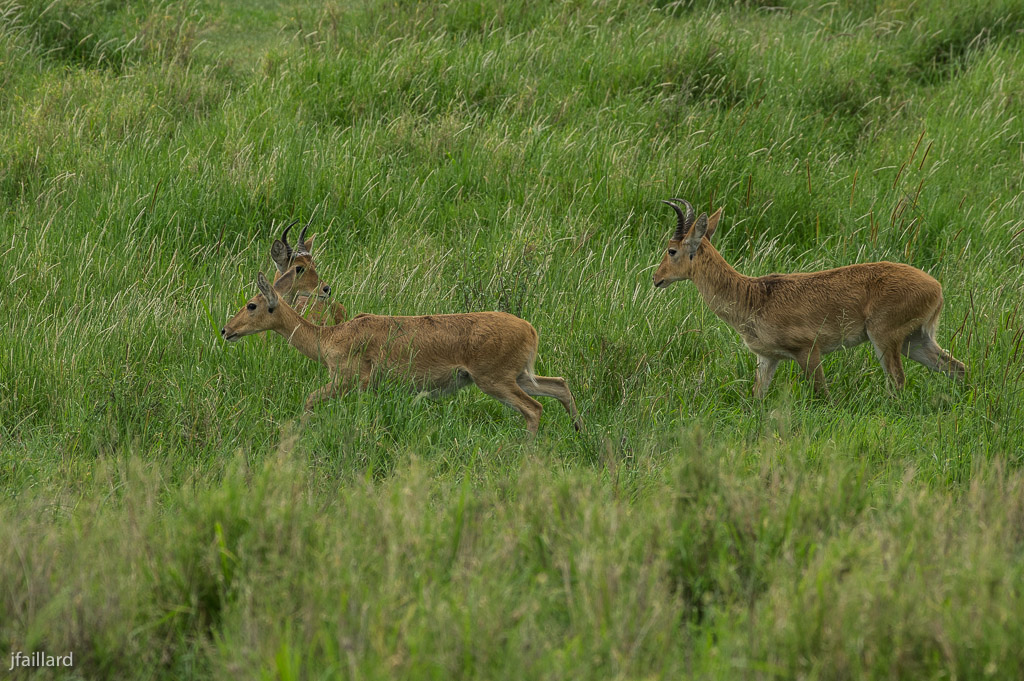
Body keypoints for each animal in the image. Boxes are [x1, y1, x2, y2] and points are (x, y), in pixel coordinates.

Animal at [219, 268, 581, 432]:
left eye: (251, 304)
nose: (226, 330)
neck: (328, 338)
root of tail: (530, 329)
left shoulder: (348, 379)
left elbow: (310, 399)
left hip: (494, 379)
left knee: (534, 408)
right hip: (520, 375)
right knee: (560, 385)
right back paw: (579, 431)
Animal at [651, 196, 962, 395]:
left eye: (671, 250)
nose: (656, 278)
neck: (754, 297)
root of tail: (936, 287)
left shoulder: (808, 351)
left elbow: (822, 394)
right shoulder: (767, 358)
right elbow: (757, 396)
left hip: (885, 338)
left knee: (898, 381)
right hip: (914, 341)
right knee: (957, 368)